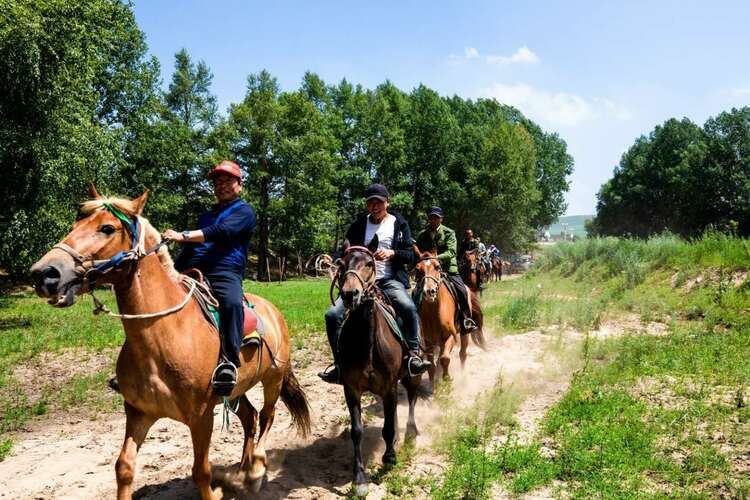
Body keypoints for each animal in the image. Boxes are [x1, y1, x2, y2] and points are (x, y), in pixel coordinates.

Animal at [28, 187, 312, 500]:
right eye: (74, 225)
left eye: (107, 228)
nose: (44, 273)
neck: (162, 339)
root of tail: (273, 311)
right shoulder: (138, 412)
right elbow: (124, 467)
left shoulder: (201, 417)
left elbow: (201, 472)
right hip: (237, 390)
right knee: (250, 418)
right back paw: (242, 470)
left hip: (273, 378)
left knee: (266, 416)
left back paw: (256, 471)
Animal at [334, 238, 424, 496]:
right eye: (341, 264)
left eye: (369, 263)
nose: (350, 294)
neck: (367, 340)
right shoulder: (351, 389)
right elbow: (357, 431)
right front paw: (359, 478)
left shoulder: (389, 386)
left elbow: (388, 427)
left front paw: (389, 457)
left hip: (411, 376)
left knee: (411, 399)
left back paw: (410, 434)